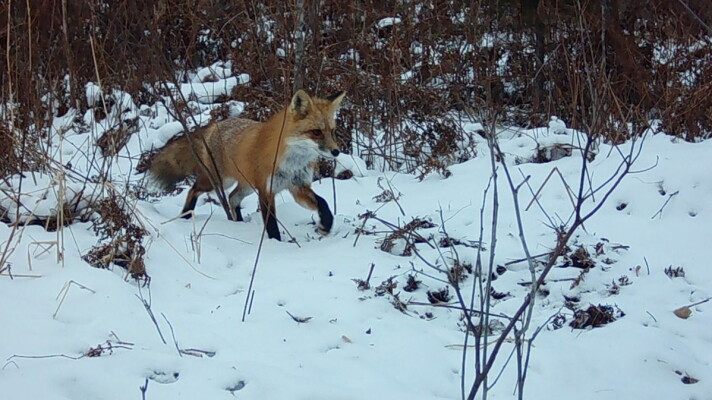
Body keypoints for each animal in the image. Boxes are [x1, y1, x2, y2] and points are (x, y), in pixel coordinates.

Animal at [149, 89, 346, 241]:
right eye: (316, 132)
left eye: (332, 131)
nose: (336, 152)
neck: (292, 163)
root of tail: (216, 124)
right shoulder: (266, 191)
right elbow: (271, 224)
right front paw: (277, 243)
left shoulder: (298, 187)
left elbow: (322, 202)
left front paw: (326, 224)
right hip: (218, 181)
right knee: (194, 189)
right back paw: (187, 214)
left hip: (246, 185)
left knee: (232, 198)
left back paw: (238, 224)